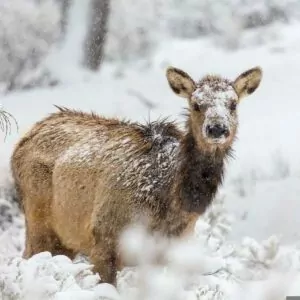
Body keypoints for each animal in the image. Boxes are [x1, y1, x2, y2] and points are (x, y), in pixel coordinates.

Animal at [10, 65, 262, 284]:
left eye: (233, 104)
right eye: (196, 104)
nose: (217, 129)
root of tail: (23, 140)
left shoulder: (168, 251)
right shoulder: (103, 239)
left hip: (65, 240)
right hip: (38, 222)